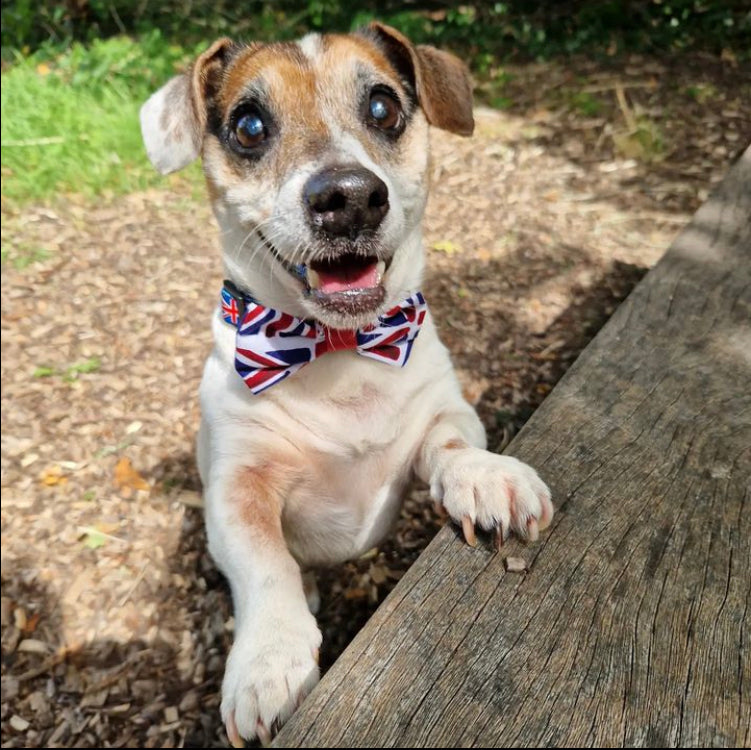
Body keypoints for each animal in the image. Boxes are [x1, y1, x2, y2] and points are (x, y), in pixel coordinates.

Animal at [141, 22, 552, 748]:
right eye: (248, 125)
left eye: (383, 107)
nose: (349, 196)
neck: (338, 348)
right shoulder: (236, 488)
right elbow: (266, 564)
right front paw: (269, 657)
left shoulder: (442, 412)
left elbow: (451, 446)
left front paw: (483, 477)